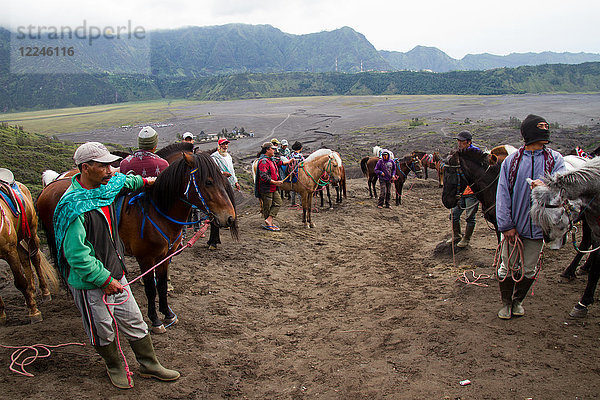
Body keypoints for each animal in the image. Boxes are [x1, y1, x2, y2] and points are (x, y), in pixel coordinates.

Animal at [0, 170, 57, 324]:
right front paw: (1, 315)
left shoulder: (9, 250)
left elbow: (20, 282)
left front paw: (34, 312)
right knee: (25, 259)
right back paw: (30, 294)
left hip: (30, 233)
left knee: (34, 258)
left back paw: (44, 293)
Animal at [528, 158, 600, 318]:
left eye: (558, 216)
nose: (547, 238)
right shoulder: (597, 231)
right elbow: (595, 270)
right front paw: (583, 302)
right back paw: (576, 269)